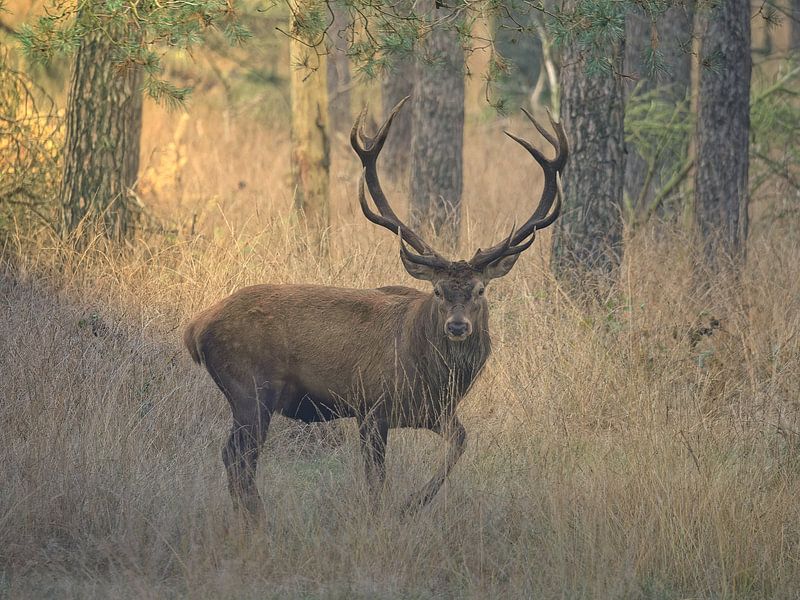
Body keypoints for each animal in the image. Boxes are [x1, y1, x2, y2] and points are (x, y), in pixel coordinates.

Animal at [183, 97, 568, 520]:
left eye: (480, 290)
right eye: (437, 291)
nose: (457, 326)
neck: (432, 375)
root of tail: (196, 329)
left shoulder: (433, 413)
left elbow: (461, 442)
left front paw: (414, 503)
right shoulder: (372, 407)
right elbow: (375, 480)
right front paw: (391, 511)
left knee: (236, 457)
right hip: (251, 388)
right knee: (238, 456)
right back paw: (257, 520)